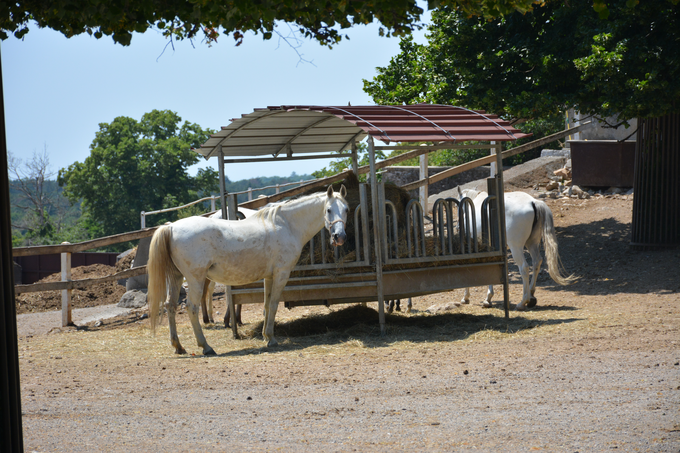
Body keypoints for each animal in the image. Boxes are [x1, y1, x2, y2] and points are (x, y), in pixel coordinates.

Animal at [149, 185, 350, 354]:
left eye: (346, 209)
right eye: (329, 210)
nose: (339, 237)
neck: (287, 225)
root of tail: (171, 227)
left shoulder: (269, 277)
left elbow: (267, 305)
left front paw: (266, 336)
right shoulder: (281, 274)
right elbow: (274, 304)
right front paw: (272, 340)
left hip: (176, 278)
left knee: (170, 306)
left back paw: (178, 346)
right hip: (195, 279)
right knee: (191, 307)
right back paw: (206, 347)